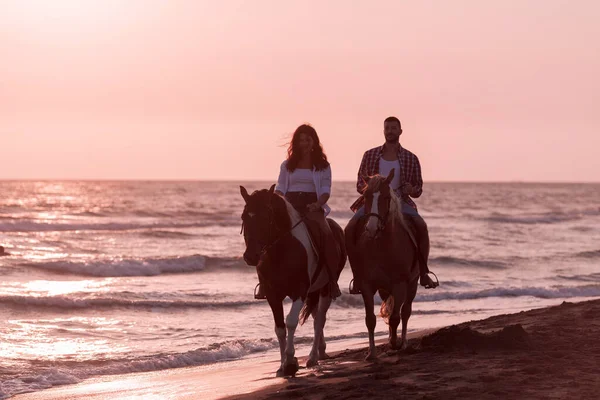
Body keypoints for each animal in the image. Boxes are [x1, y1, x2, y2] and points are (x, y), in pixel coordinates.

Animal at [239, 184, 344, 378]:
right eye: (244, 217)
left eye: (266, 217)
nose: (250, 257)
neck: (281, 252)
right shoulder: (273, 294)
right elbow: (279, 328)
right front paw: (282, 366)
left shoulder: (299, 291)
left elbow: (291, 321)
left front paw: (290, 362)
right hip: (313, 291)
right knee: (316, 316)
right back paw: (320, 351)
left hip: (325, 288)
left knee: (319, 321)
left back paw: (312, 358)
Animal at [344, 169, 420, 360]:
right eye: (366, 196)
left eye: (386, 197)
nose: (371, 228)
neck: (380, 246)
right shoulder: (366, 285)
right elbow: (370, 319)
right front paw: (371, 354)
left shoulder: (400, 284)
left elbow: (395, 317)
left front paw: (394, 343)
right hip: (384, 288)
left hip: (413, 282)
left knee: (405, 312)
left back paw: (404, 344)